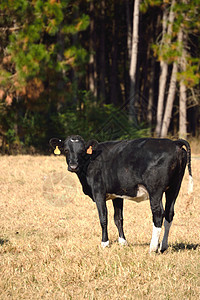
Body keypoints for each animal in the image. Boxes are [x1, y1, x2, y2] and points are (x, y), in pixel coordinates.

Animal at [49, 137, 193, 253]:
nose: (73, 166)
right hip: (174, 188)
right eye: (66, 150)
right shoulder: (117, 195)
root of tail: (174, 142)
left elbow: (103, 218)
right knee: (169, 213)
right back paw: (163, 246)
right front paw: (123, 242)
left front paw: (105, 243)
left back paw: (153, 247)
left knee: (158, 214)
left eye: (82, 151)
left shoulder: (98, 192)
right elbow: (118, 219)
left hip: (155, 190)